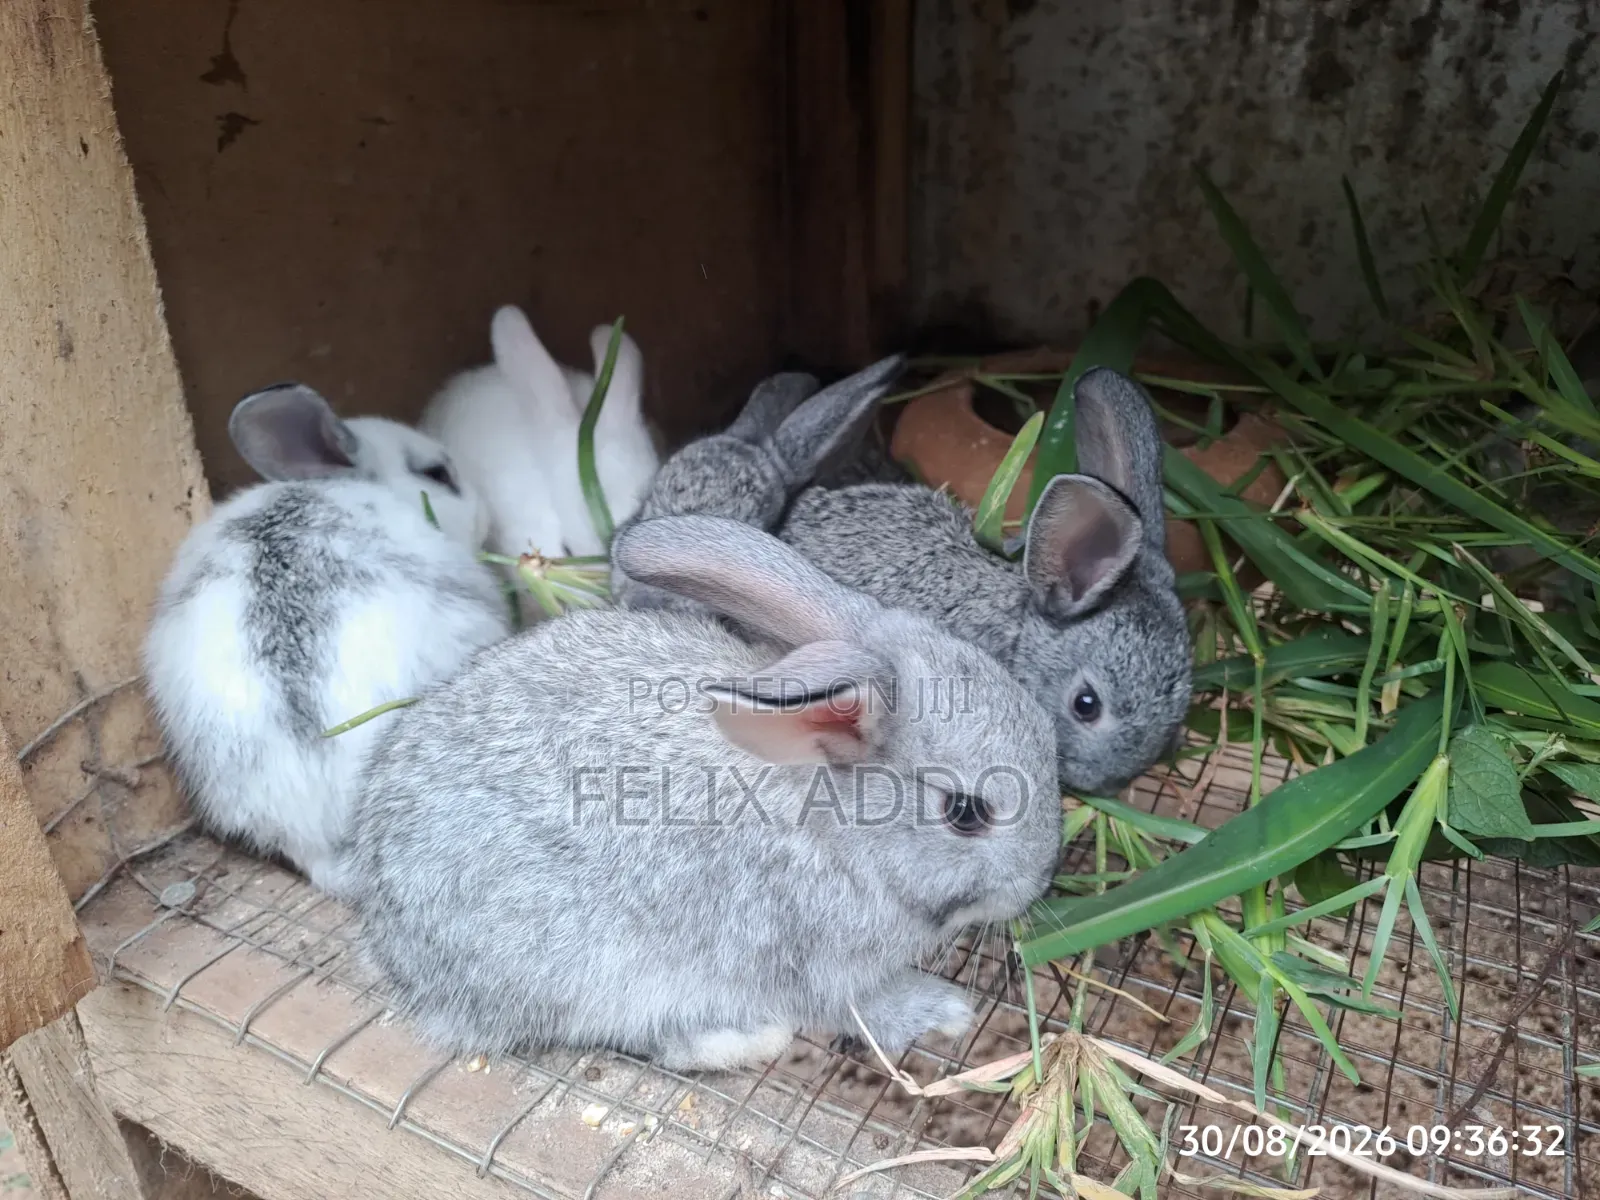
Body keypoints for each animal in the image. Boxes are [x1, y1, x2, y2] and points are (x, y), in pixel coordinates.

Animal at [346, 513, 1060, 1070]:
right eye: (965, 813)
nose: (1040, 881)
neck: (838, 829)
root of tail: (397, 952)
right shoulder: (816, 962)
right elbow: (862, 1006)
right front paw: (945, 1010)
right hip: (598, 974)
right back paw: (754, 1039)